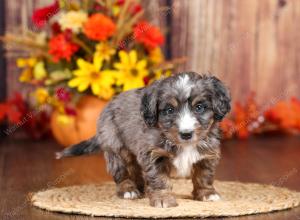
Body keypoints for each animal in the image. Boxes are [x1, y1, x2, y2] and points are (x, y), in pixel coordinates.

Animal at [57, 72, 231, 208]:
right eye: (169, 110)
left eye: (199, 107)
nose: (186, 134)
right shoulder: (154, 155)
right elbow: (160, 179)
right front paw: (163, 199)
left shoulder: (207, 155)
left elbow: (204, 175)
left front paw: (207, 194)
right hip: (116, 147)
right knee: (123, 172)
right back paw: (128, 190)